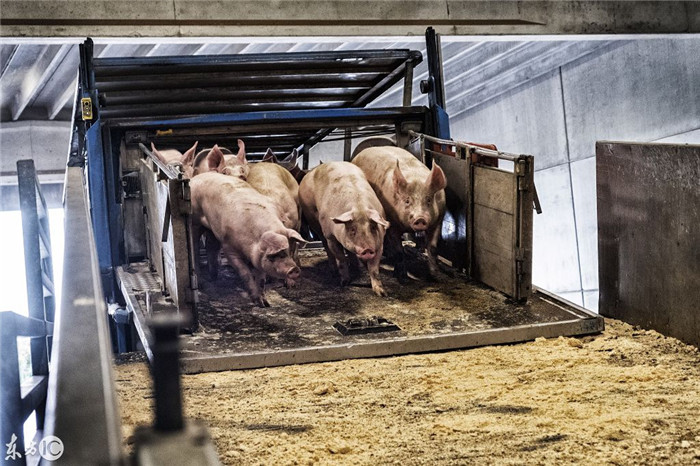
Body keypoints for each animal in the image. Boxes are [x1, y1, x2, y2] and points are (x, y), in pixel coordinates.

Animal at [190, 152, 304, 306]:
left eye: (285, 252)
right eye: (274, 256)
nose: (294, 270)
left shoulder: (259, 255)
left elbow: (261, 278)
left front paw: (265, 302)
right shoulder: (228, 247)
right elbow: (245, 273)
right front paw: (257, 300)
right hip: (194, 221)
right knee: (196, 247)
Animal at [298, 162, 392, 296]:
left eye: (373, 227)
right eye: (352, 229)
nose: (367, 249)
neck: (359, 207)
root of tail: (315, 168)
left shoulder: (379, 244)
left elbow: (374, 269)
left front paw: (382, 293)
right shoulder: (331, 237)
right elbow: (341, 259)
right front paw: (344, 283)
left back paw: (356, 266)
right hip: (314, 220)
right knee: (325, 245)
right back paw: (333, 270)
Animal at [352, 147, 446, 280]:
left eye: (428, 200)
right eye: (407, 200)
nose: (420, 218)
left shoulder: (439, 220)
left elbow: (433, 248)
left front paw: (435, 275)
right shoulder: (391, 222)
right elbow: (399, 251)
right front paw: (402, 277)